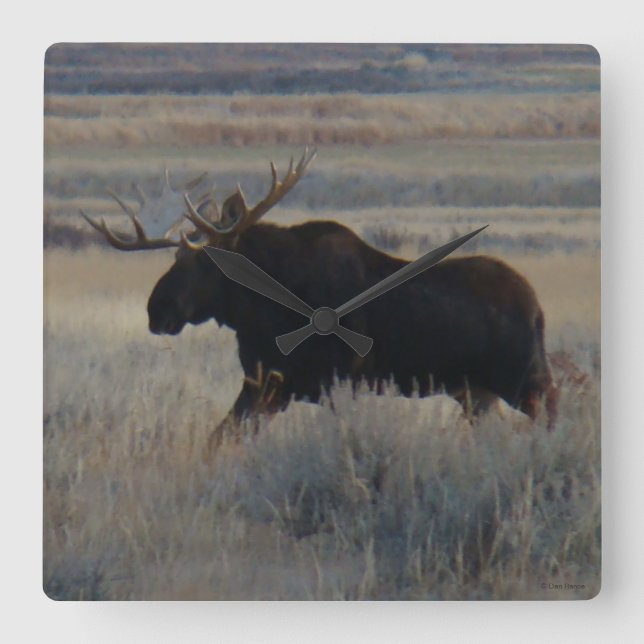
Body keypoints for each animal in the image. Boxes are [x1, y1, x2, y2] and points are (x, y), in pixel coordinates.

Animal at [81, 148, 558, 452]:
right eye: (177, 256)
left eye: (207, 262)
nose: (156, 310)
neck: (260, 315)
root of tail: (538, 308)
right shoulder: (265, 385)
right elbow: (219, 439)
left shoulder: (335, 381)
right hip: (476, 393)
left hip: (525, 379)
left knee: (555, 415)